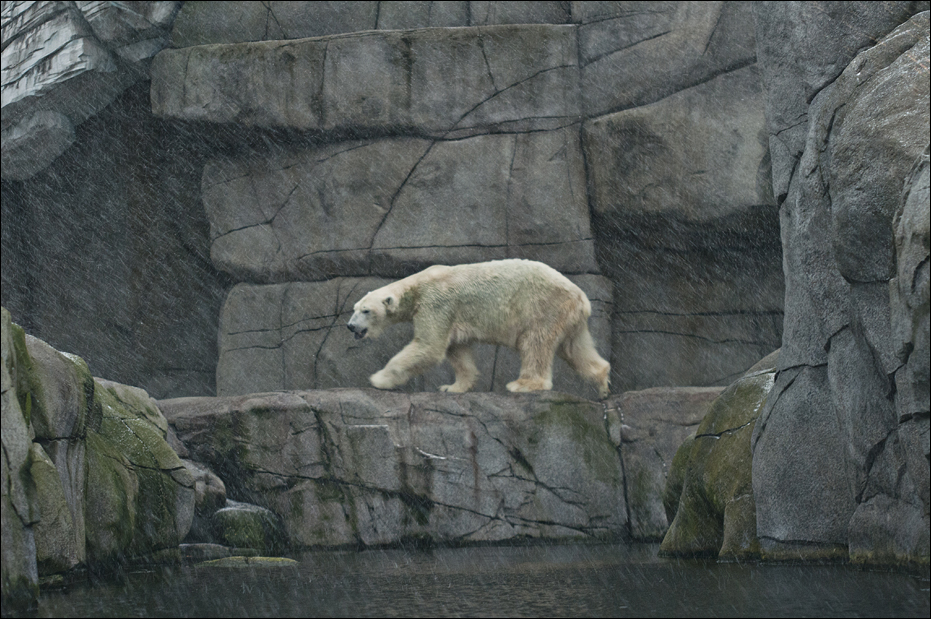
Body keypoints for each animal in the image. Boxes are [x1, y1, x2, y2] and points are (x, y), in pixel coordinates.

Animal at [347, 259, 610, 398]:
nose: (350, 326)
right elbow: (458, 351)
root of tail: (582, 298)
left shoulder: (436, 303)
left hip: (543, 306)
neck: (417, 286)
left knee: (534, 342)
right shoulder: (449, 314)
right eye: (355, 308)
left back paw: (523, 384)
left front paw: (379, 379)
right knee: (575, 348)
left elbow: (430, 346)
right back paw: (602, 382)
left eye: (366, 311)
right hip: (568, 316)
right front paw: (452, 387)